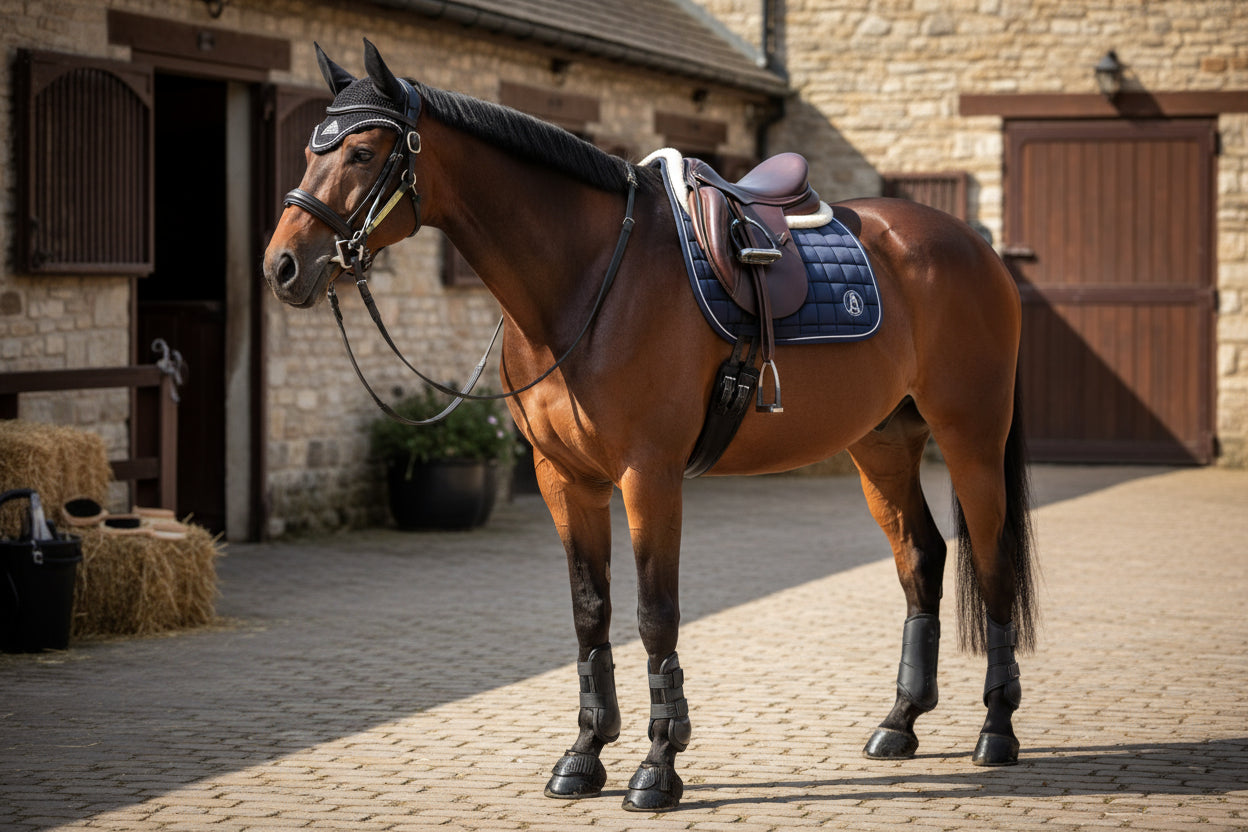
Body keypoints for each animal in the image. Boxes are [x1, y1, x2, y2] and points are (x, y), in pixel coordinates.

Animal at [263, 40, 1038, 813]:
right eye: (307, 148)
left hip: (971, 436)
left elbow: (654, 614)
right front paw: (583, 754)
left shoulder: (650, 475)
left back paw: (996, 731)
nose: (283, 265)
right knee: (922, 559)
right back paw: (900, 722)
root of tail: (973, 245)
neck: (585, 283)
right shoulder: (564, 477)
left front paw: (659, 765)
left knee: (993, 562)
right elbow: (590, 612)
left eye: (364, 152)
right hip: (881, 443)